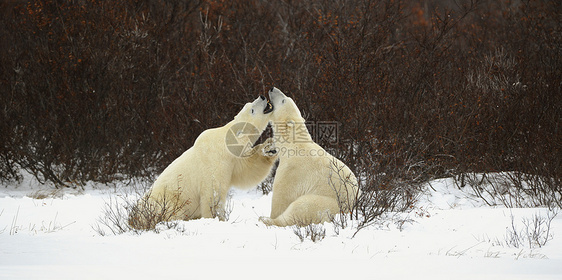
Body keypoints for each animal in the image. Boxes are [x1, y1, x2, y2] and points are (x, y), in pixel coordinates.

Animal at [127, 95, 276, 229]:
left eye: (249, 104)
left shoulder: (233, 160)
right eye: (252, 109)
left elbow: (248, 169)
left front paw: (269, 147)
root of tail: (133, 218)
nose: (262, 97)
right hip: (166, 200)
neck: (224, 142)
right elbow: (213, 193)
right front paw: (217, 218)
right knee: (172, 210)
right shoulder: (214, 161)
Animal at [260, 87, 358, 228]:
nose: (272, 88)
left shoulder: (293, 170)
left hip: (325, 204)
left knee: (300, 207)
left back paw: (265, 219)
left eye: (284, 100)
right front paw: (268, 147)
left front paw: (271, 215)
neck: (294, 145)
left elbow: (282, 195)